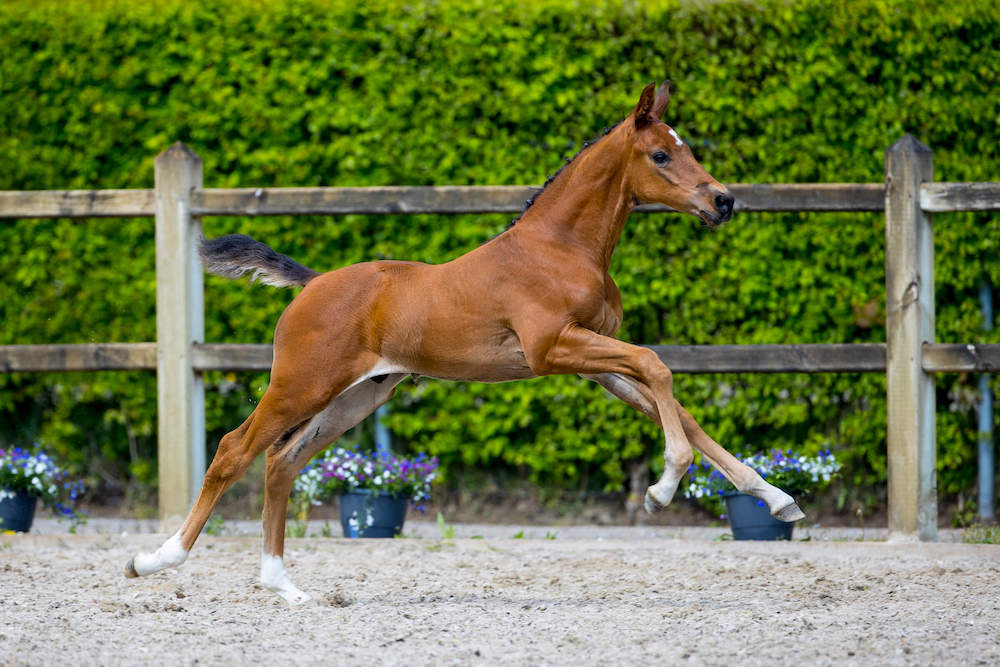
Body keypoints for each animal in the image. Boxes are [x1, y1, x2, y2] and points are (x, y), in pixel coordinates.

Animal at [123, 83, 804, 604]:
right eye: (661, 155)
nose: (724, 201)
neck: (560, 247)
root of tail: (312, 284)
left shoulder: (591, 360)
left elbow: (678, 407)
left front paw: (777, 500)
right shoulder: (552, 350)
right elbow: (658, 367)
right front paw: (663, 490)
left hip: (357, 397)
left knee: (280, 461)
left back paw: (282, 585)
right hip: (301, 384)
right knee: (234, 450)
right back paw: (156, 560)